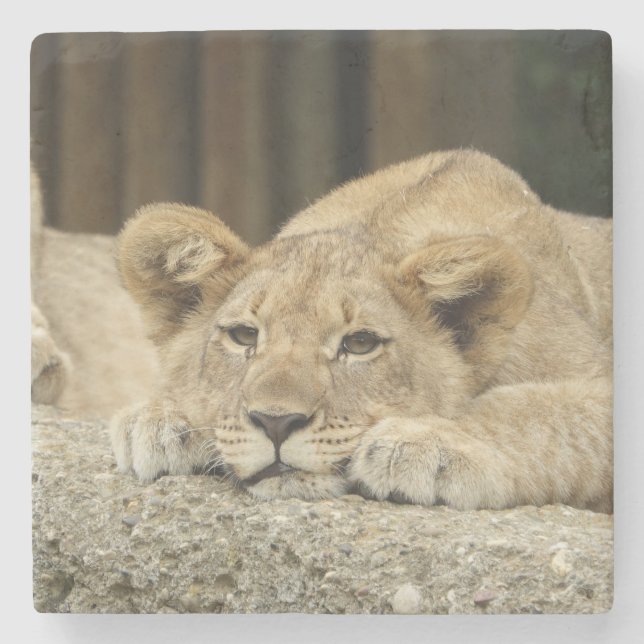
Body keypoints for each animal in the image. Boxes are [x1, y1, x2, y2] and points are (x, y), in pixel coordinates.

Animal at [33, 149, 613, 512]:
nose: (276, 423)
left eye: (359, 344)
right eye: (244, 336)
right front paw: (164, 420)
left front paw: (424, 443)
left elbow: (537, 412)